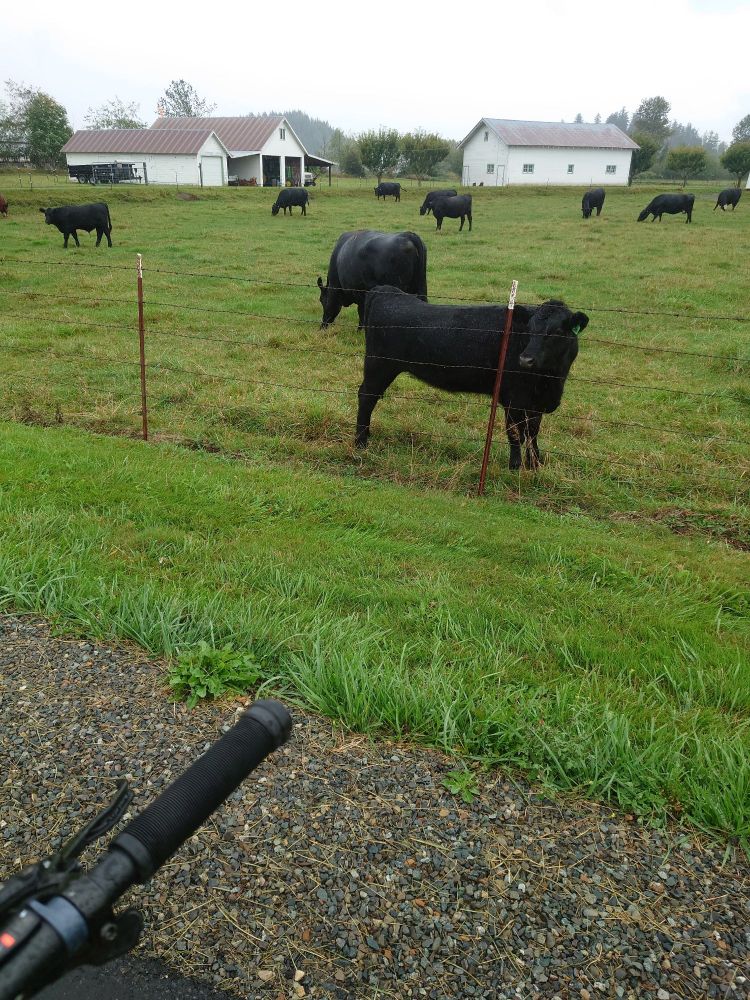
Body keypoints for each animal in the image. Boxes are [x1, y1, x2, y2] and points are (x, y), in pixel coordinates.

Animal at [355, 286, 588, 469]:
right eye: (528, 330)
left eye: (557, 331)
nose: (525, 360)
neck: (551, 380)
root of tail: (387, 291)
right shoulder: (512, 398)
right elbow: (515, 433)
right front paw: (515, 467)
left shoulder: (536, 403)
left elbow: (532, 432)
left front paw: (535, 464)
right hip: (379, 366)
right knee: (366, 397)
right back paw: (360, 442)